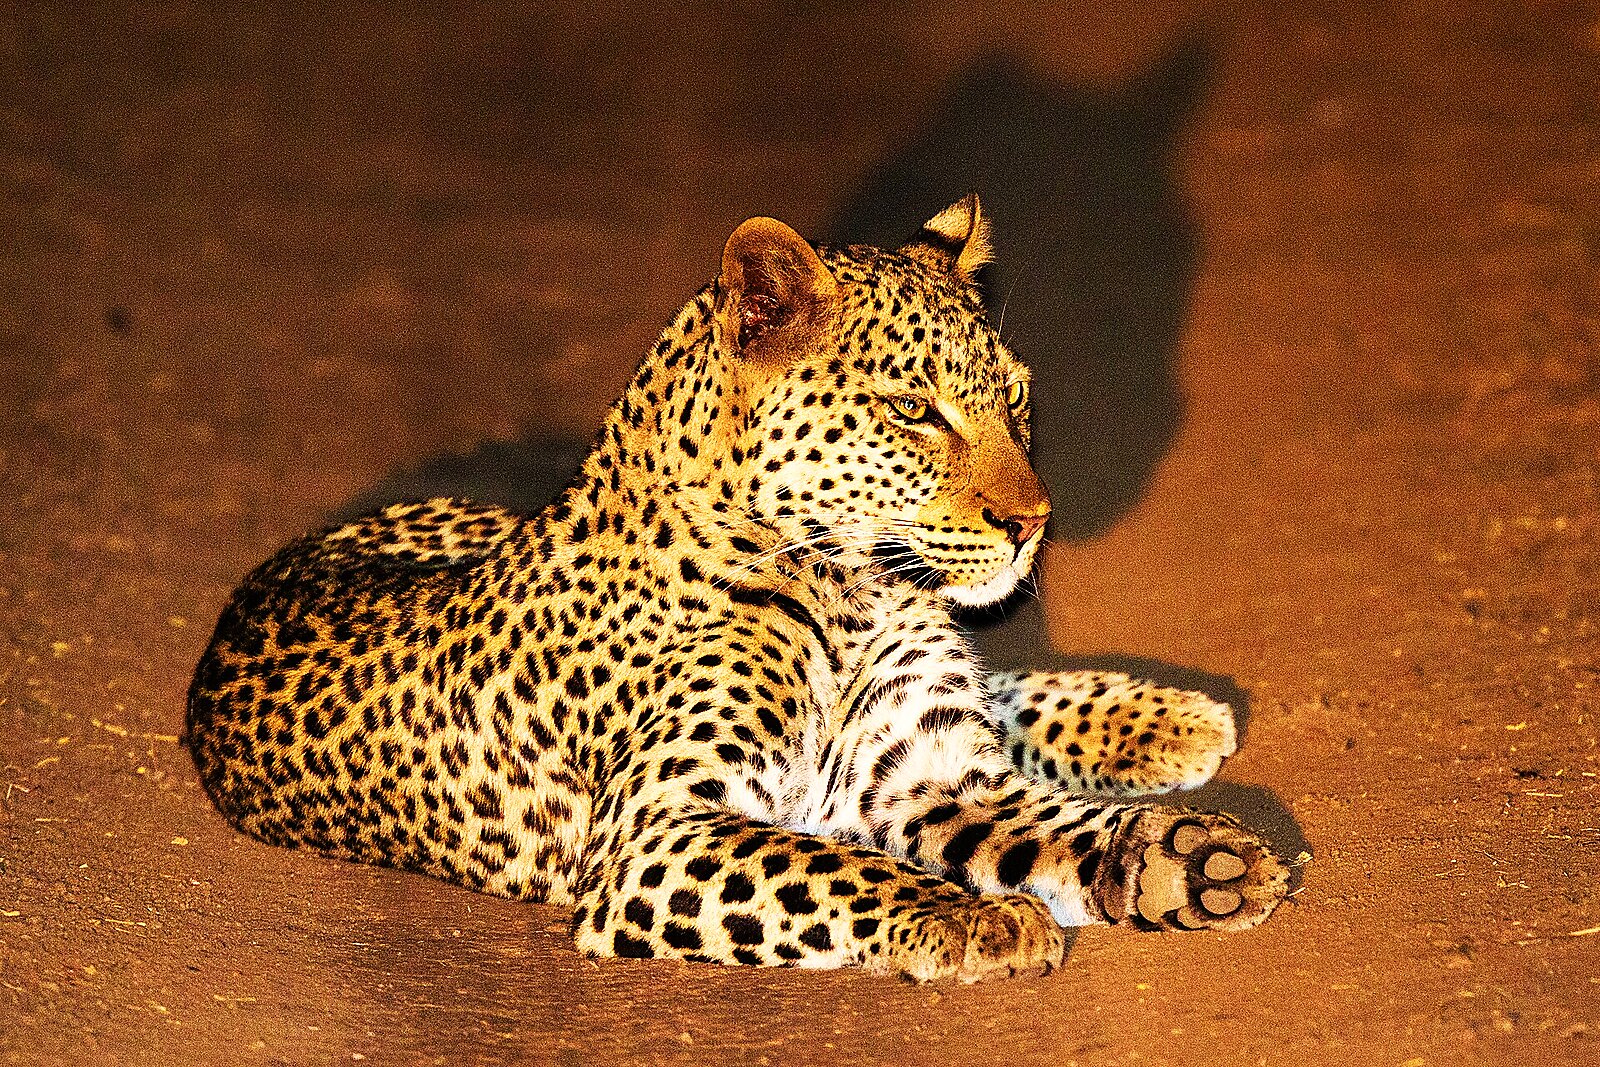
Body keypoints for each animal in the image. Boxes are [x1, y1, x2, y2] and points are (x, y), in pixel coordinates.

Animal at [186, 196, 1289, 981]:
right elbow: (837, 867)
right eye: (913, 410)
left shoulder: (925, 769)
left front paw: (1188, 860)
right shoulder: (657, 835)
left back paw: (1164, 717)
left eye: (1014, 398)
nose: (1033, 524)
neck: (853, 590)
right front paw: (978, 915)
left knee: (999, 685)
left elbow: (1048, 819)